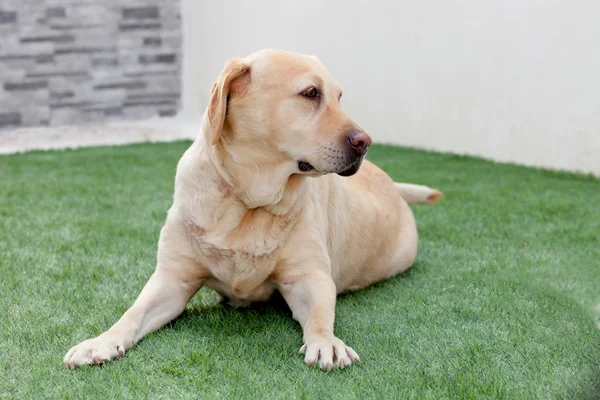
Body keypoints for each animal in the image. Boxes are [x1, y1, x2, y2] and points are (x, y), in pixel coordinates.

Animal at [64, 48, 440, 370]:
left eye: (339, 97)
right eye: (310, 93)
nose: (365, 142)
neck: (249, 202)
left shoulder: (309, 277)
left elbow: (320, 316)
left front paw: (326, 342)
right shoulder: (172, 279)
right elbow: (132, 314)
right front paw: (101, 341)